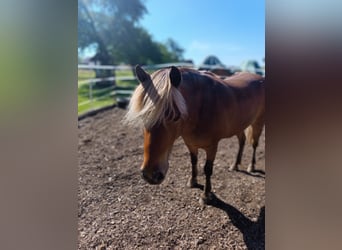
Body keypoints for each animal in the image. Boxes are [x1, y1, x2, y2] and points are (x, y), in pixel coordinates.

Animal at [124, 65, 266, 204]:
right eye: (143, 116)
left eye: (175, 116)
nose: (150, 175)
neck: (201, 106)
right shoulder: (190, 143)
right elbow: (193, 161)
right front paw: (192, 181)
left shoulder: (212, 146)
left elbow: (207, 169)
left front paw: (206, 195)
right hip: (239, 125)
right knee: (242, 141)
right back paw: (235, 165)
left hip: (258, 122)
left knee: (254, 144)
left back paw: (251, 166)